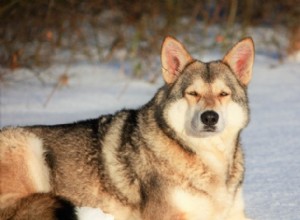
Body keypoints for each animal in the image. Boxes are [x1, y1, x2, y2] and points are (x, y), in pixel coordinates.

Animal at [0, 37, 254, 219]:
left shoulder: (235, 214)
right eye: (192, 93)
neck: (207, 158)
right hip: (28, 144)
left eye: (223, 94)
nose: (209, 117)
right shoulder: (168, 216)